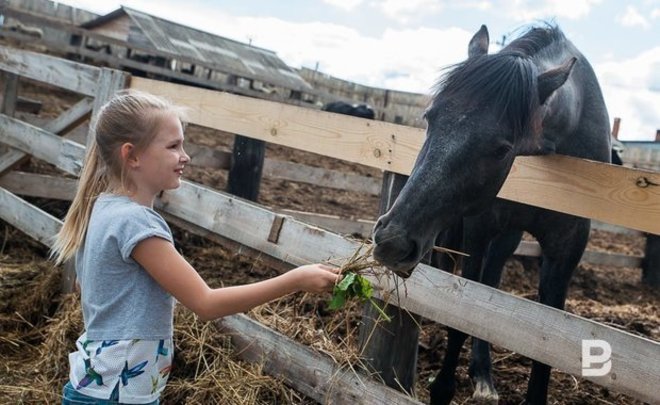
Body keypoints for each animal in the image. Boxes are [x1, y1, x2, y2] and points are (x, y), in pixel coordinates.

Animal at [374, 23, 612, 402]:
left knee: (492, 281)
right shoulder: (479, 229)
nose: (392, 242)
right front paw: (443, 388)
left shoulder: (567, 248)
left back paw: (483, 373)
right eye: (429, 117)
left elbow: (548, 338)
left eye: (502, 148)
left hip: (508, 236)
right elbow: (466, 312)